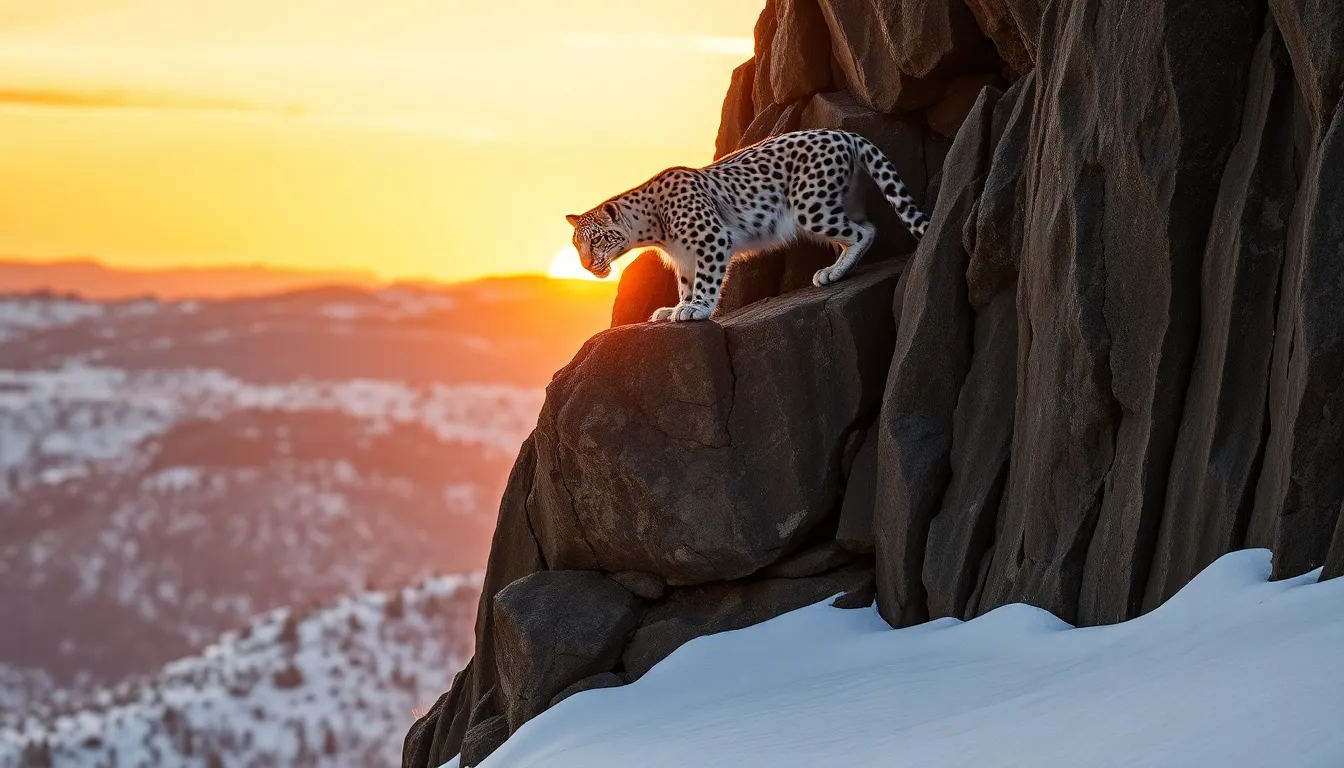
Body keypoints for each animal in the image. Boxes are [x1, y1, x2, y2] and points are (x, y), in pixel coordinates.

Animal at [566, 129, 930, 322]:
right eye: (576, 244)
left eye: (596, 240)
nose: (586, 265)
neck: (654, 230)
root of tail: (845, 134)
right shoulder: (684, 255)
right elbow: (686, 282)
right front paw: (677, 308)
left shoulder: (711, 239)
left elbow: (707, 280)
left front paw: (697, 309)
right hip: (841, 199)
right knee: (863, 224)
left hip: (809, 206)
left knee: (864, 231)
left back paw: (831, 273)